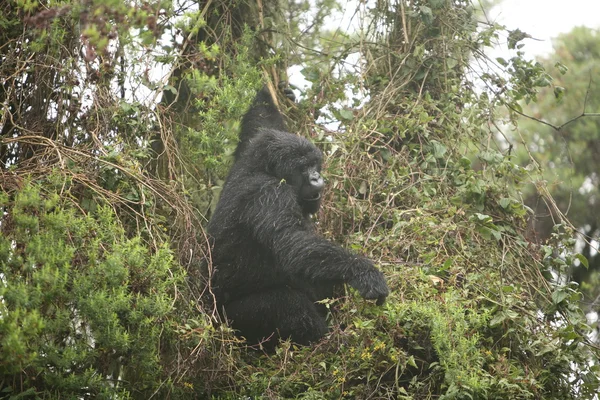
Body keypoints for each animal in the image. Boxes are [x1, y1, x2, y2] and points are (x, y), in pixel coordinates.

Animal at [206, 84, 390, 346]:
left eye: (314, 164)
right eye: (303, 167)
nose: (316, 177)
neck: (263, 169)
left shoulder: (251, 152)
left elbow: (260, 127)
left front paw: (275, 94)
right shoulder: (270, 195)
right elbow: (293, 245)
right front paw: (364, 272)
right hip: (231, 321)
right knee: (289, 305)